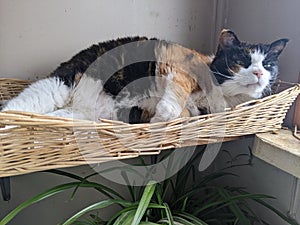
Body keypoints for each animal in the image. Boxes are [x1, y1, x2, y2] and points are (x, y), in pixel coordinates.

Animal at [1, 29, 290, 123]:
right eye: (242, 61)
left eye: (268, 65)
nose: (259, 72)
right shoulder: (177, 63)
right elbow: (176, 96)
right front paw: (164, 113)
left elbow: (185, 113)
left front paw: (159, 117)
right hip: (55, 88)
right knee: (14, 109)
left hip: (77, 116)